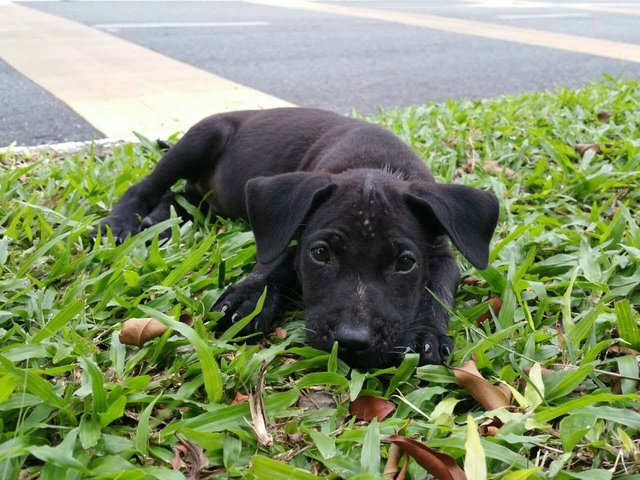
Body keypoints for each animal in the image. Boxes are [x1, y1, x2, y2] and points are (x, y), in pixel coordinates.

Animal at [100, 108, 500, 368]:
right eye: (320, 254)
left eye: (405, 263)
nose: (352, 342)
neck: (373, 165)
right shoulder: (291, 223)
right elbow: (277, 257)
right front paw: (249, 297)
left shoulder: (442, 255)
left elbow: (438, 291)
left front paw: (425, 335)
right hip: (200, 139)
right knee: (148, 186)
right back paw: (119, 224)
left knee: (181, 200)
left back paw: (158, 223)